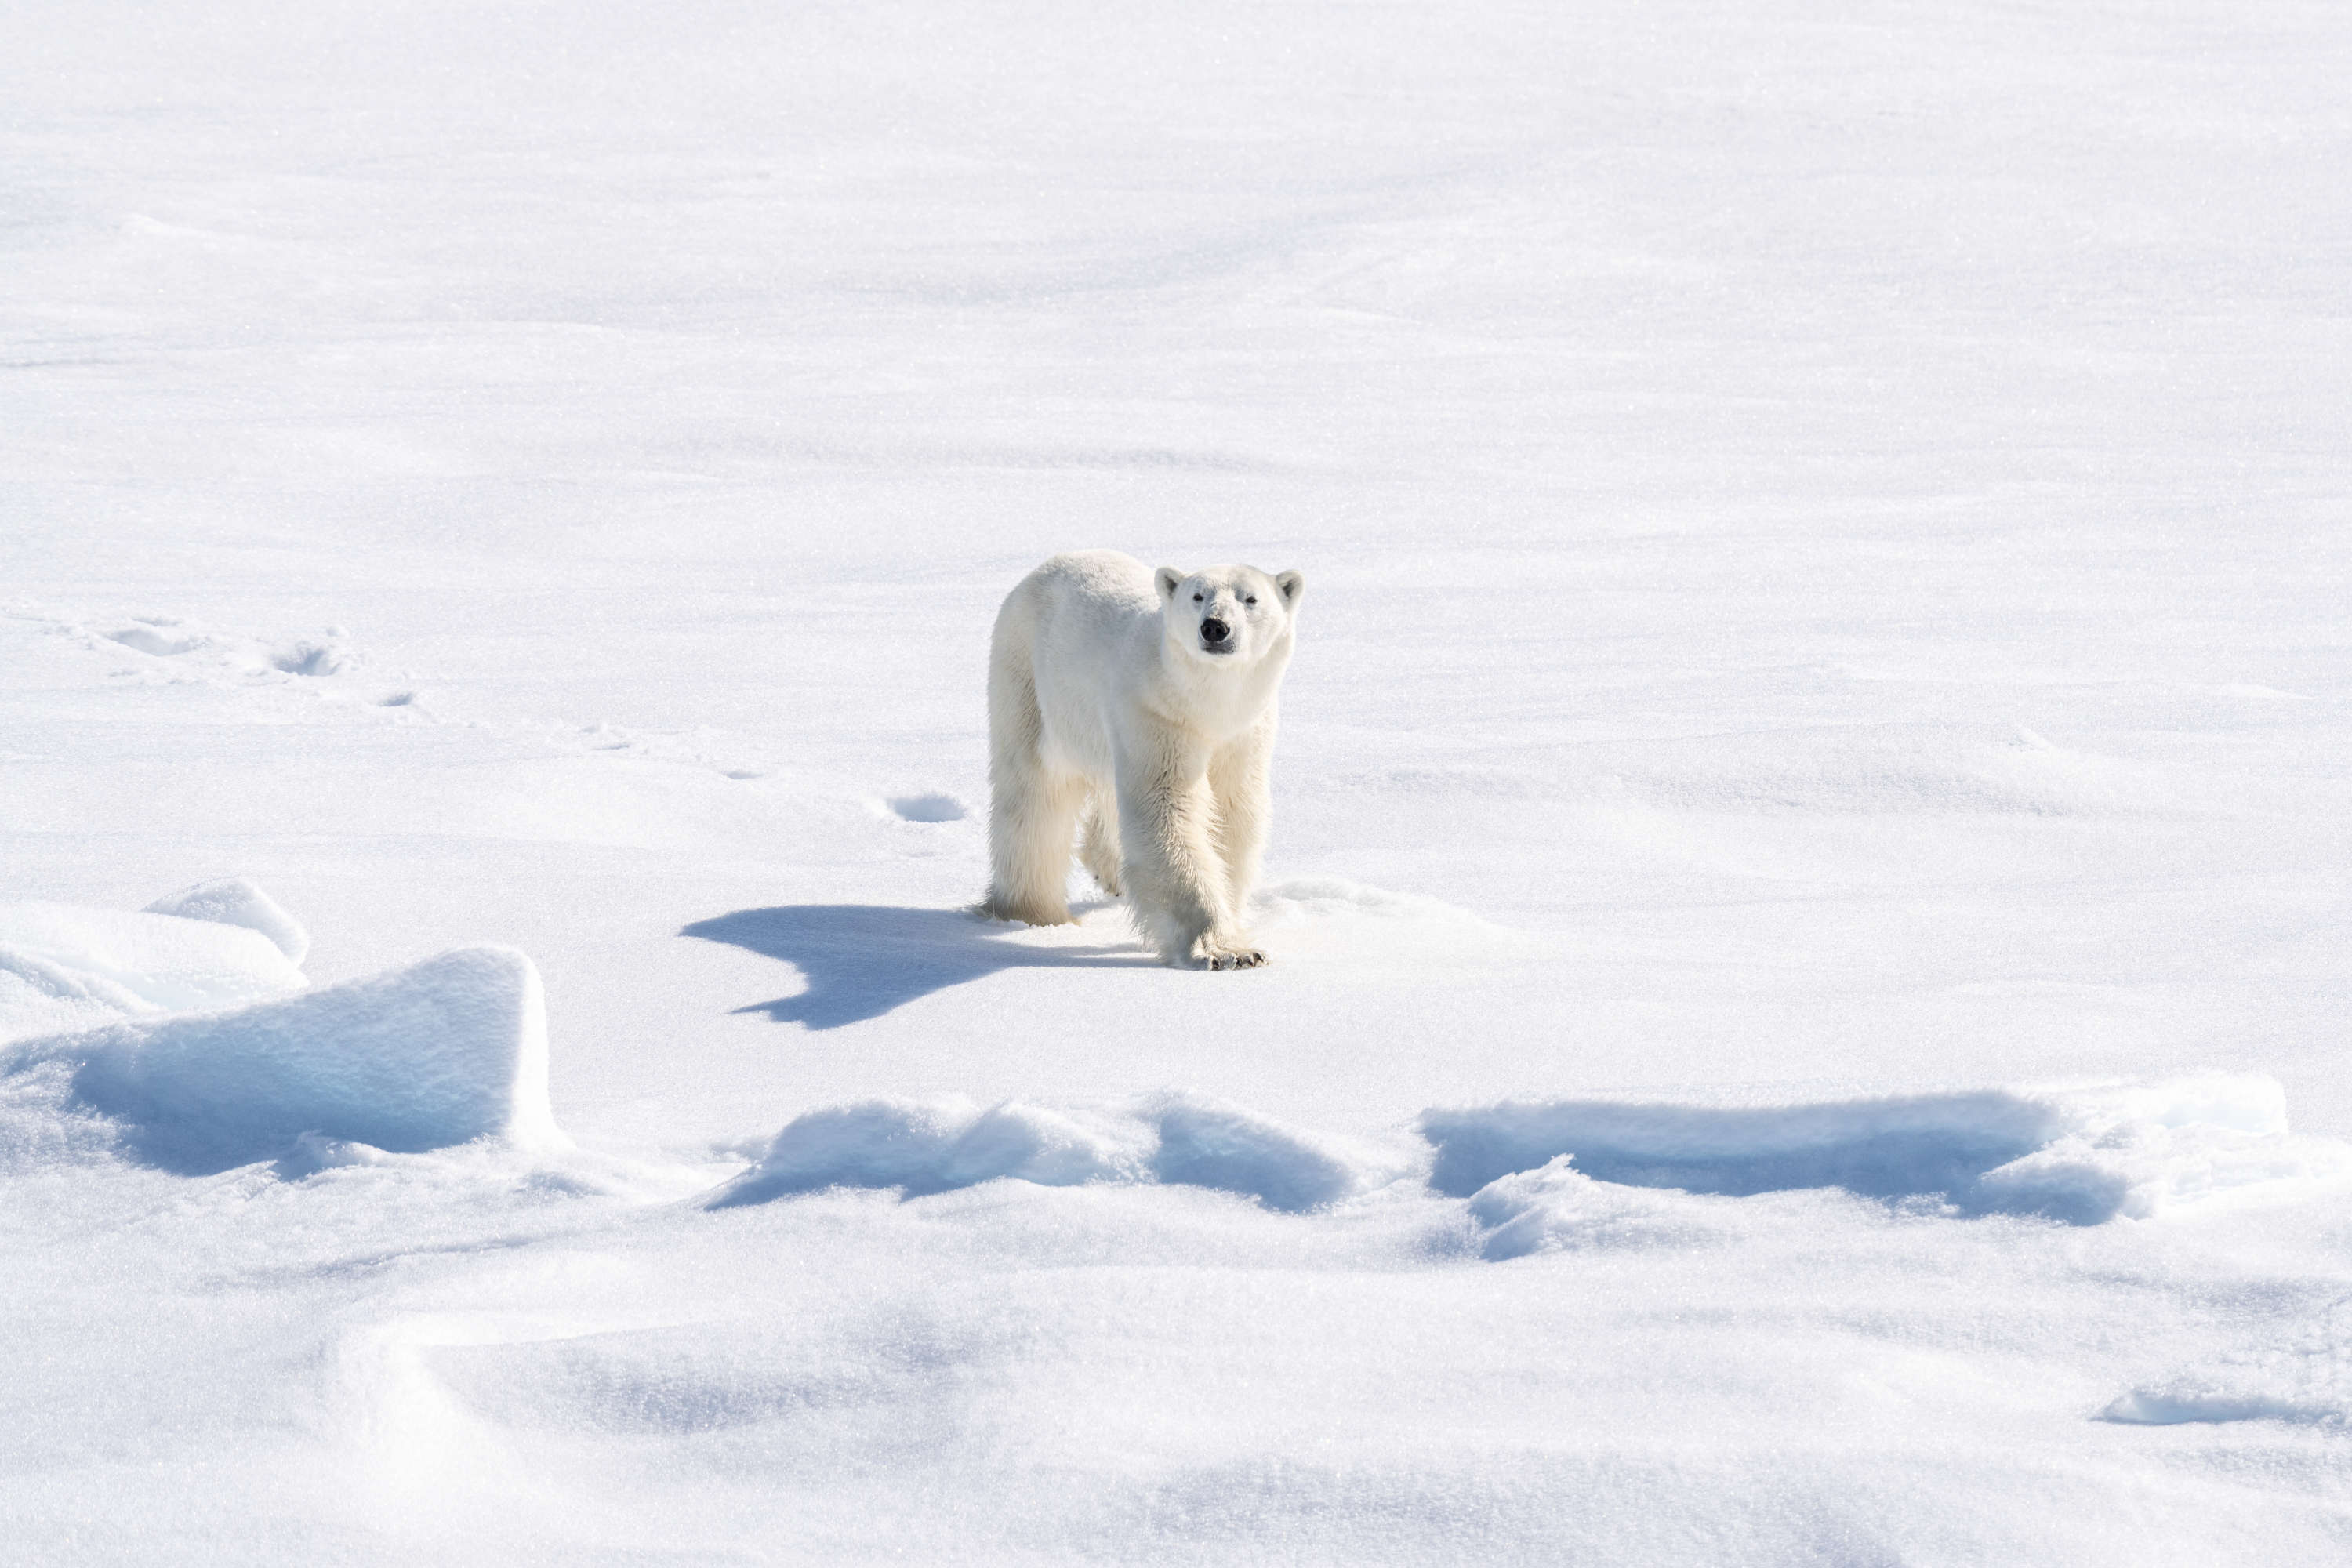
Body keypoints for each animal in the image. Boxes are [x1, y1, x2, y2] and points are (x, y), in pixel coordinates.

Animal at [982, 550, 1305, 970]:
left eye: (1250, 599)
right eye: (1198, 596)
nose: (1215, 628)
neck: (1205, 705)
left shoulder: (1244, 733)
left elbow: (1232, 815)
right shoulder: (1156, 714)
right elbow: (1167, 808)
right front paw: (1228, 951)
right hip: (1028, 676)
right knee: (1033, 795)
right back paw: (1034, 912)